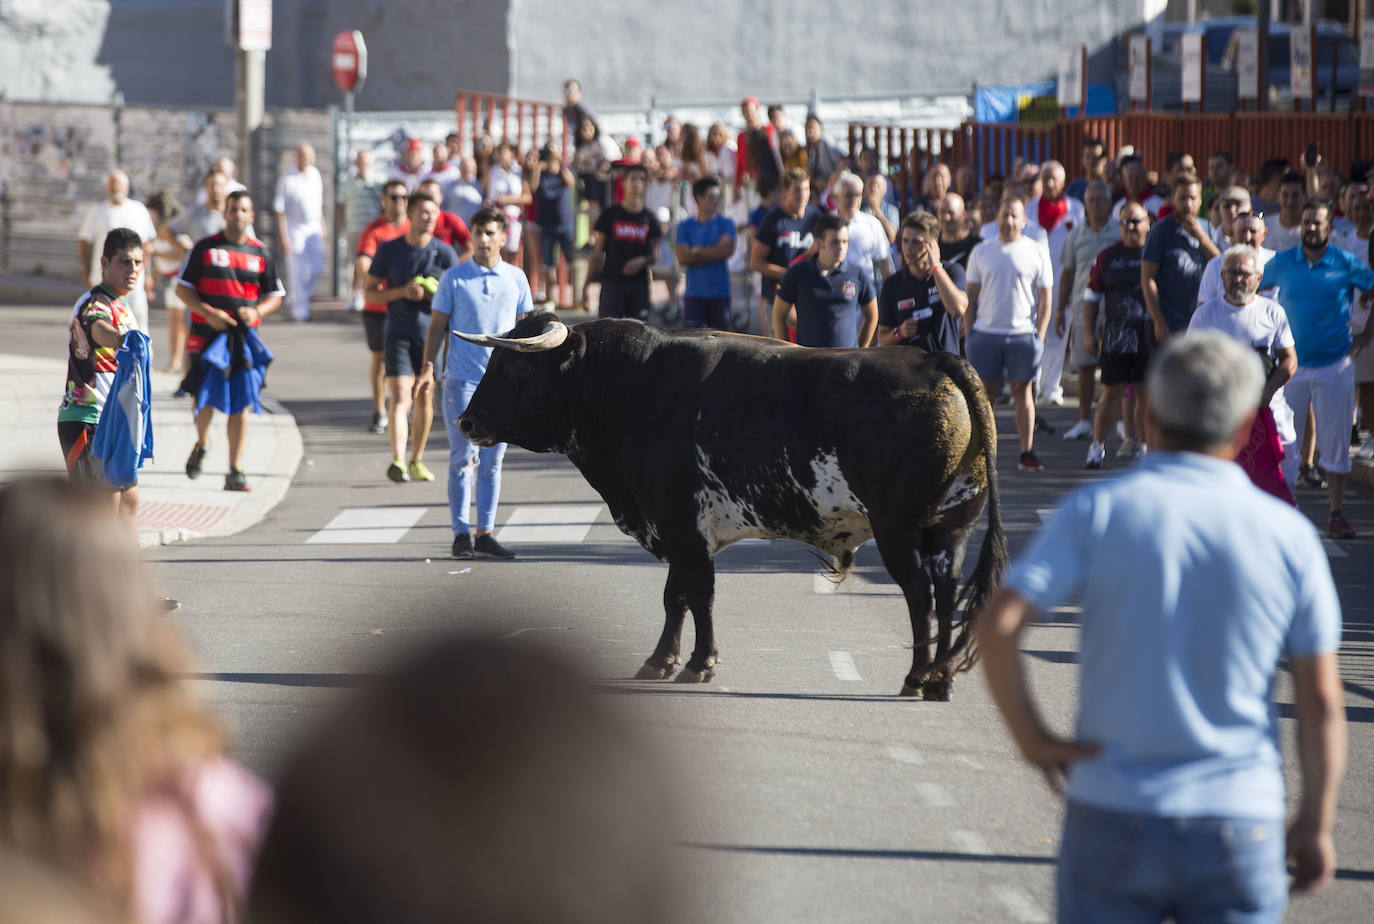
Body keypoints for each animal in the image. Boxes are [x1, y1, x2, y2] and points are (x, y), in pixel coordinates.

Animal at [456, 313, 1005, 695]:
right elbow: (675, 595)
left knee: (919, 596)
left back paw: (916, 677)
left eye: (519, 364)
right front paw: (661, 660)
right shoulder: (679, 528)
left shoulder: (682, 524)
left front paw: (700, 663)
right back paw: (940, 679)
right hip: (951, 528)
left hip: (899, 530)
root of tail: (935, 359)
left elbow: (699, 593)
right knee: (947, 592)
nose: (466, 421)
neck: (631, 387)